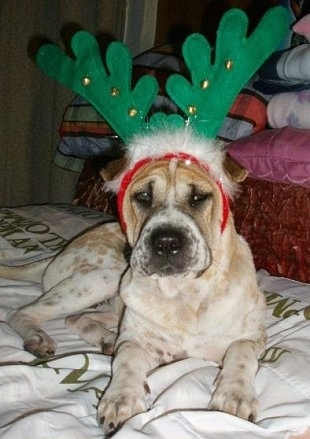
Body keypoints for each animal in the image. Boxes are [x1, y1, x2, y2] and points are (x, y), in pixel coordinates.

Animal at [1, 131, 266, 436]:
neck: (182, 294)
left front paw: (235, 396)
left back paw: (104, 339)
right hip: (100, 279)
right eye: (143, 196)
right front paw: (121, 399)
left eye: (199, 197)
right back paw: (39, 338)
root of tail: (56, 255)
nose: (166, 242)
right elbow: (127, 358)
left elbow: (241, 350)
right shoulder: (139, 342)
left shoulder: (254, 337)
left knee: (76, 319)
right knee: (24, 312)